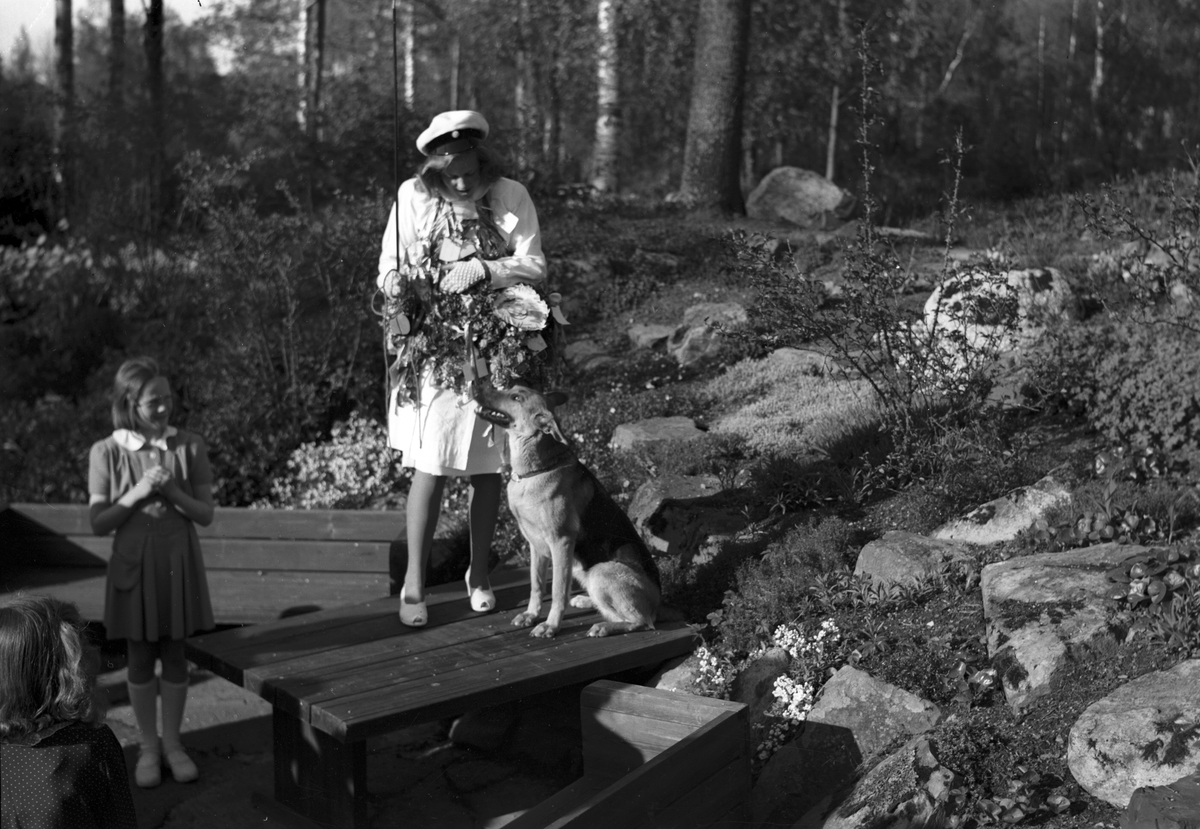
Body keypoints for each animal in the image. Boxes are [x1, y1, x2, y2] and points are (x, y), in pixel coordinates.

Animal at [475, 384, 661, 638]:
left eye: (515, 397)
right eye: (512, 389)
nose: (474, 388)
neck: (534, 471)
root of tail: (658, 601)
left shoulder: (560, 542)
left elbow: (557, 591)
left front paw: (551, 626)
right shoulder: (535, 546)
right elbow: (536, 585)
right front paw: (531, 615)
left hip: (601, 571)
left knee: (641, 622)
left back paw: (604, 626)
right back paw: (586, 601)